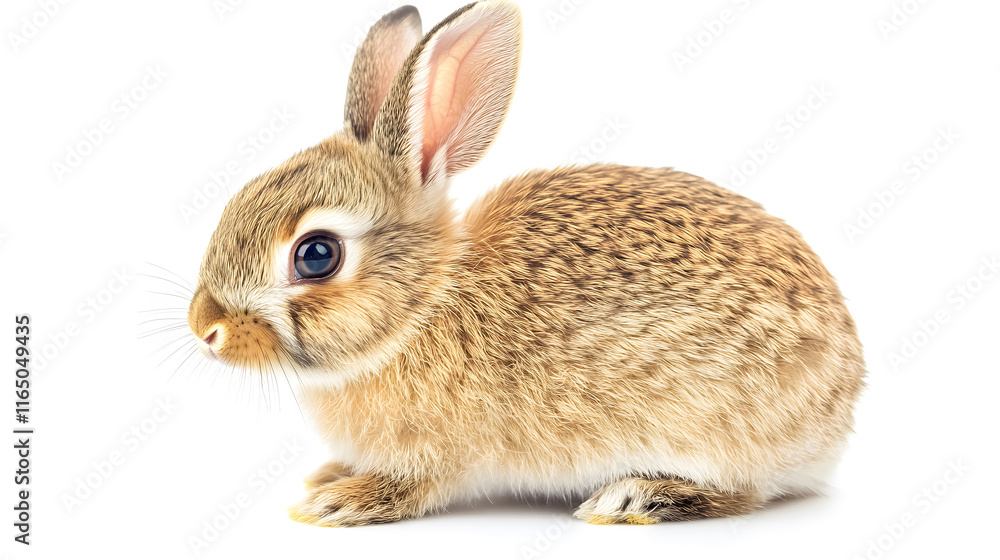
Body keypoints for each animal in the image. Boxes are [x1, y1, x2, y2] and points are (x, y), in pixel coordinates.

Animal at [187, 0, 865, 527]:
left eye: (317, 254)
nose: (205, 328)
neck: (421, 305)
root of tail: (841, 401)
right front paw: (326, 476)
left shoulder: (436, 455)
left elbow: (412, 487)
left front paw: (338, 502)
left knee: (741, 492)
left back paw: (634, 498)